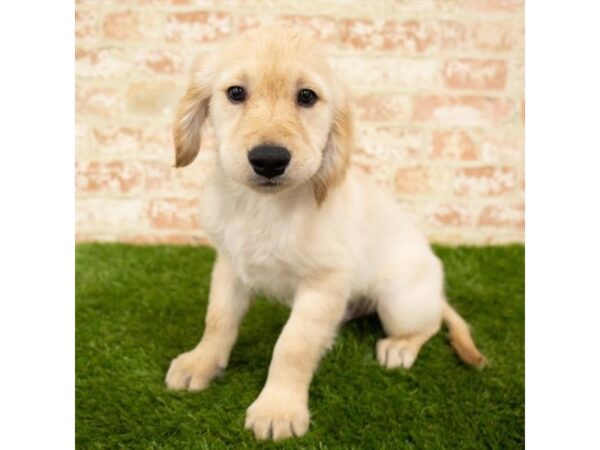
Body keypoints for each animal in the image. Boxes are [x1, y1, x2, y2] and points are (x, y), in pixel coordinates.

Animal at [165, 27, 488, 440]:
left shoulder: (323, 284)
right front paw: (200, 363)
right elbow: (218, 321)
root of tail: (436, 292)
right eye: (235, 92)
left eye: (307, 97)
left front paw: (278, 408)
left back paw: (400, 347)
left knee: (429, 324)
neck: (264, 208)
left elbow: (293, 345)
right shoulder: (230, 266)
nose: (269, 160)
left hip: (400, 303)